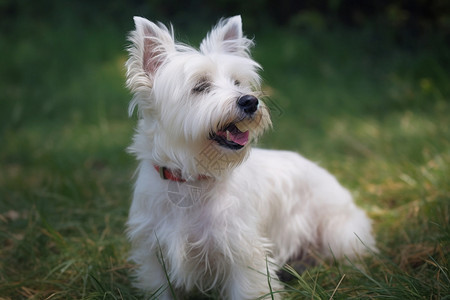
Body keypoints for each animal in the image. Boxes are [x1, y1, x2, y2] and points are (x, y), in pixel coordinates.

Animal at [124, 16, 376, 300]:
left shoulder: (243, 254)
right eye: (200, 87)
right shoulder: (153, 256)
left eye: (237, 83)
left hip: (339, 232)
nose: (250, 101)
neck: (191, 180)